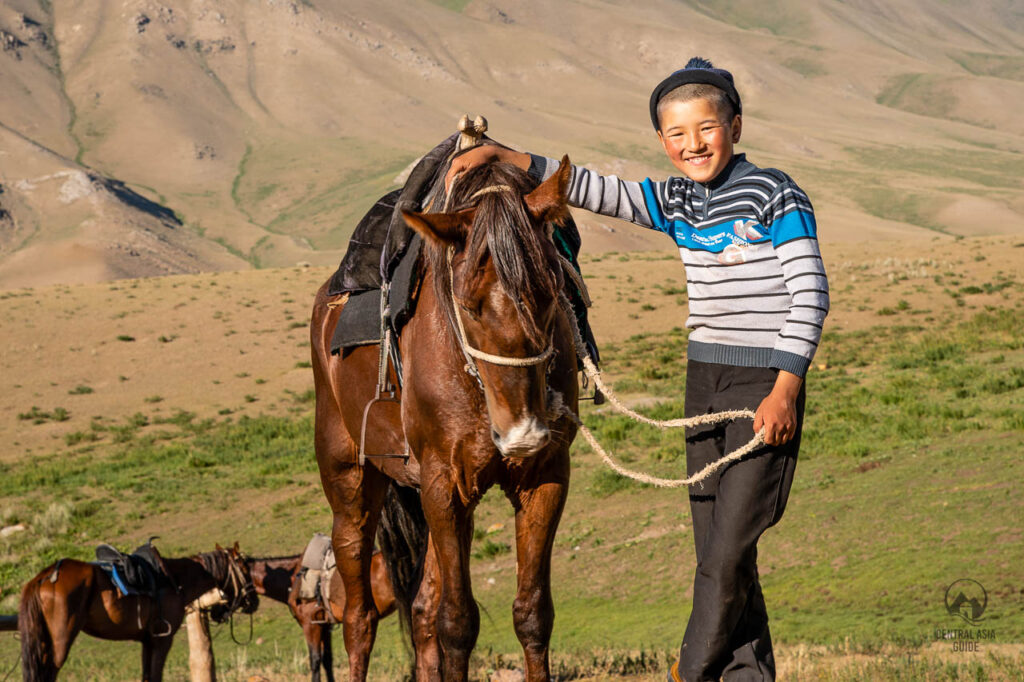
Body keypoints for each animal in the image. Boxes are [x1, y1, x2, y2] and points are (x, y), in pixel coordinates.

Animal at [18, 540, 256, 679]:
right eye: (245, 568)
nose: (254, 601)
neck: (176, 580)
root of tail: (44, 577)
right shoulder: (162, 640)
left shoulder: (147, 641)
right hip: (60, 641)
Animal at [245, 548, 393, 679]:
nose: (251, 606)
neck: (294, 578)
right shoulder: (325, 626)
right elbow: (327, 660)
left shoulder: (310, 625)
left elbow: (315, 660)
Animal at [311, 156, 581, 675]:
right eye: (469, 305)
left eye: (551, 292)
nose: (522, 432)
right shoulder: (443, 483)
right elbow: (457, 621)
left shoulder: (544, 477)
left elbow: (532, 613)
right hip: (351, 489)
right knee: (359, 619)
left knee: (421, 612)